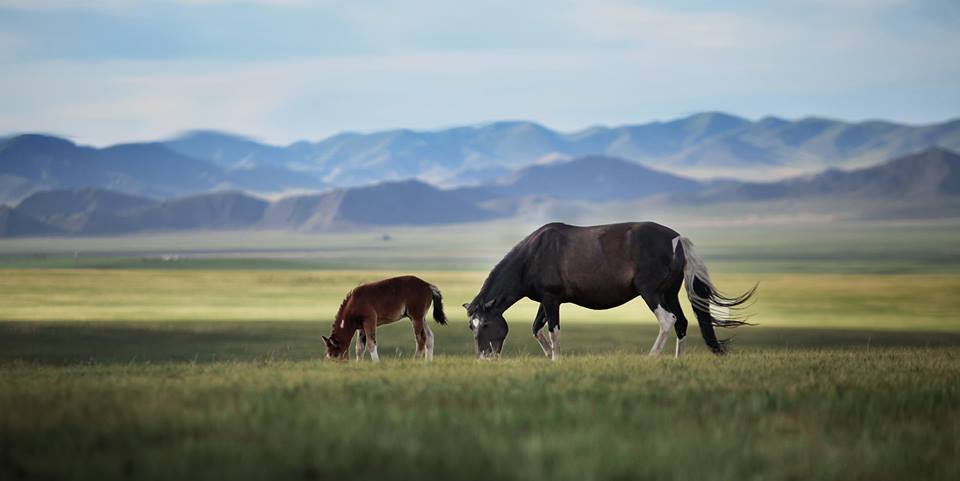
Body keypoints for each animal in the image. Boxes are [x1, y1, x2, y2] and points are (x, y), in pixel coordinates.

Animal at [462, 220, 752, 356]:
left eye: (485, 324)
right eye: (470, 326)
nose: (483, 356)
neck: (535, 254)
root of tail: (677, 238)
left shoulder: (552, 299)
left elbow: (553, 331)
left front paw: (556, 360)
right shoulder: (546, 300)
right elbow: (537, 330)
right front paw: (548, 356)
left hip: (651, 293)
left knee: (668, 321)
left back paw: (652, 357)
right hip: (669, 293)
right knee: (681, 323)